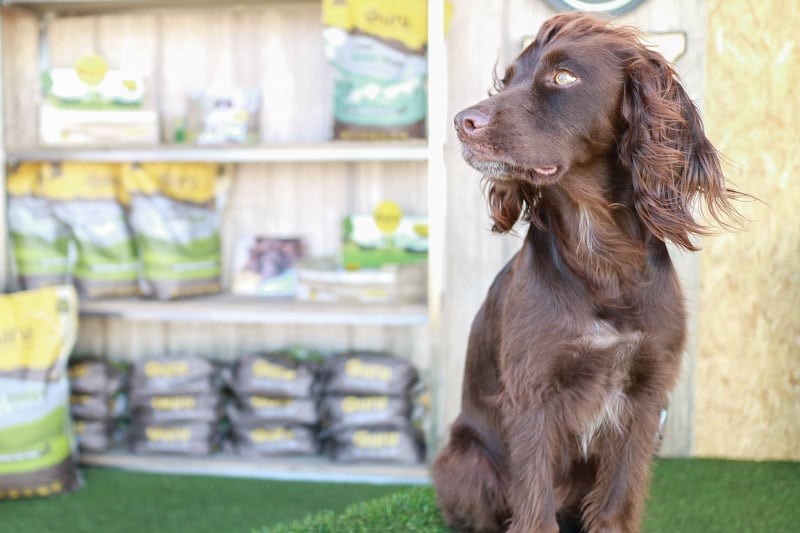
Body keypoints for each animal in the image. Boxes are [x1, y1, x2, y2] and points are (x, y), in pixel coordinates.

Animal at [434, 11, 740, 532]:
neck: (600, 254)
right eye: (508, 80)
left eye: (563, 77)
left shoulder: (646, 393)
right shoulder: (532, 393)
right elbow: (534, 507)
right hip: (464, 463)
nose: (462, 122)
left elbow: (617, 498)